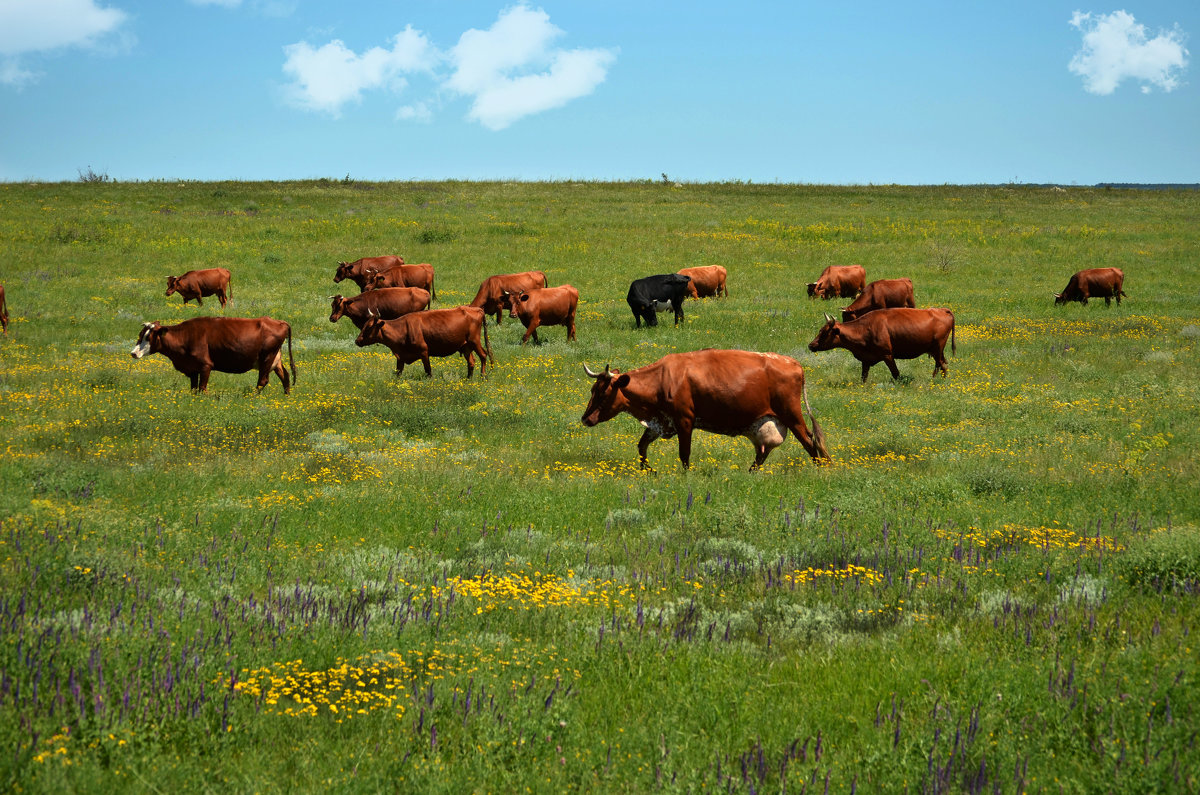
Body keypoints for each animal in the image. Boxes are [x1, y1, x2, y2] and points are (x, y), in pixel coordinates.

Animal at [130, 317, 295, 393]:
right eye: (140, 335)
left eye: (148, 337)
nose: (133, 353)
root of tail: (279, 322)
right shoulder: (192, 369)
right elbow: (194, 389)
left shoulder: (205, 365)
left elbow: (202, 388)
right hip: (275, 359)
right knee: (285, 376)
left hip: (267, 358)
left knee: (263, 381)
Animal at [352, 305, 489, 379]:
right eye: (364, 325)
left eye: (369, 327)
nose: (357, 341)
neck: (403, 329)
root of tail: (476, 309)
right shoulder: (400, 357)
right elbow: (398, 372)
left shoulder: (424, 351)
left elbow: (428, 370)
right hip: (466, 346)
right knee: (471, 361)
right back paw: (468, 379)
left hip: (475, 341)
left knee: (483, 355)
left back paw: (483, 377)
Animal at [578, 350, 825, 473]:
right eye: (592, 389)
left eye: (603, 393)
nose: (585, 418)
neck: (661, 379)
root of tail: (794, 363)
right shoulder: (661, 422)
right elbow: (641, 446)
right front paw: (647, 470)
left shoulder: (684, 420)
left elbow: (684, 454)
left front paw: (685, 476)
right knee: (763, 452)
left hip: (792, 415)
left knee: (810, 442)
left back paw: (822, 469)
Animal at [806, 307, 955, 384]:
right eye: (820, 330)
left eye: (825, 333)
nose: (811, 345)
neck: (865, 328)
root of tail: (942, 310)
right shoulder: (866, 359)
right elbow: (864, 377)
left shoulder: (887, 355)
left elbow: (896, 373)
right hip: (937, 351)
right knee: (942, 365)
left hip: (937, 349)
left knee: (942, 365)